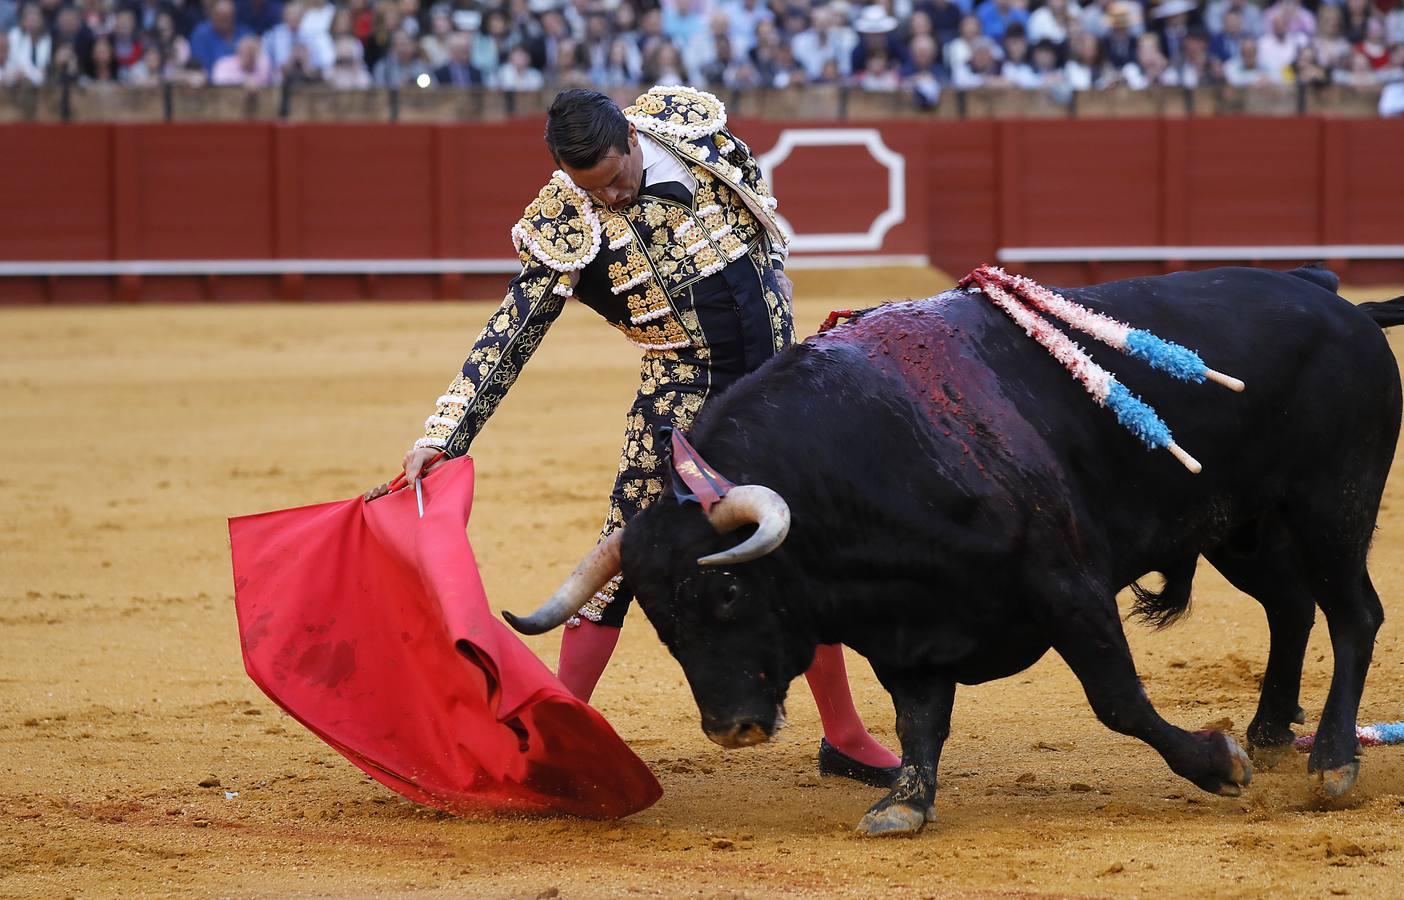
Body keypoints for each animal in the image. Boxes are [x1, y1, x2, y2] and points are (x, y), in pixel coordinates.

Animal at [508, 266, 1404, 836]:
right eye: (659, 620)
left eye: (726, 594)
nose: (731, 730)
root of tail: (1344, 306)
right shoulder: (911, 630)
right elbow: (919, 719)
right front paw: (903, 802)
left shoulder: (1067, 582)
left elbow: (1117, 698)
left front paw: (1215, 765)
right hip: (1244, 528)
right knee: (1292, 607)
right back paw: (1270, 729)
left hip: (1332, 503)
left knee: (1354, 612)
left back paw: (1330, 760)